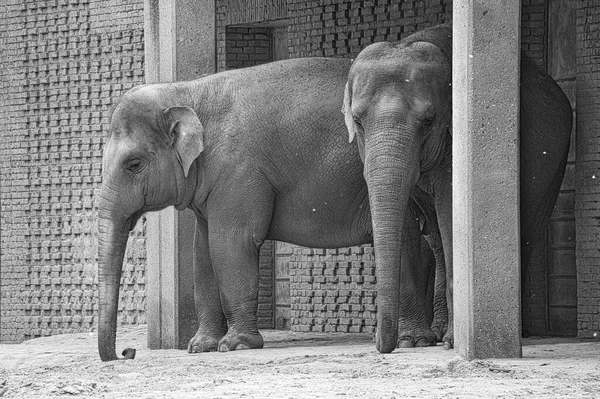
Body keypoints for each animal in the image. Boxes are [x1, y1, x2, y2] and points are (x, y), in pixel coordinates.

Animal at [97, 57, 446, 362]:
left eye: (134, 164)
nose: (126, 353)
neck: (187, 90)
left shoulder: (239, 171)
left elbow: (231, 244)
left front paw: (236, 346)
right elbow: (202, 251)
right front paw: (200, 347)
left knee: (409, 239)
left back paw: (414, 340)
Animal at [342, 24, 572, 354]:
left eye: (428, 122)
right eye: (358, 121)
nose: (378, 342)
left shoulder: (454, 141)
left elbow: (451, 213)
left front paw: (451, 342)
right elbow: (407, 222)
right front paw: (412, 342)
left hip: (554, 162)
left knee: (526, 231)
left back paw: (516, 332)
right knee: (437, 239)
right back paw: (437, 333)